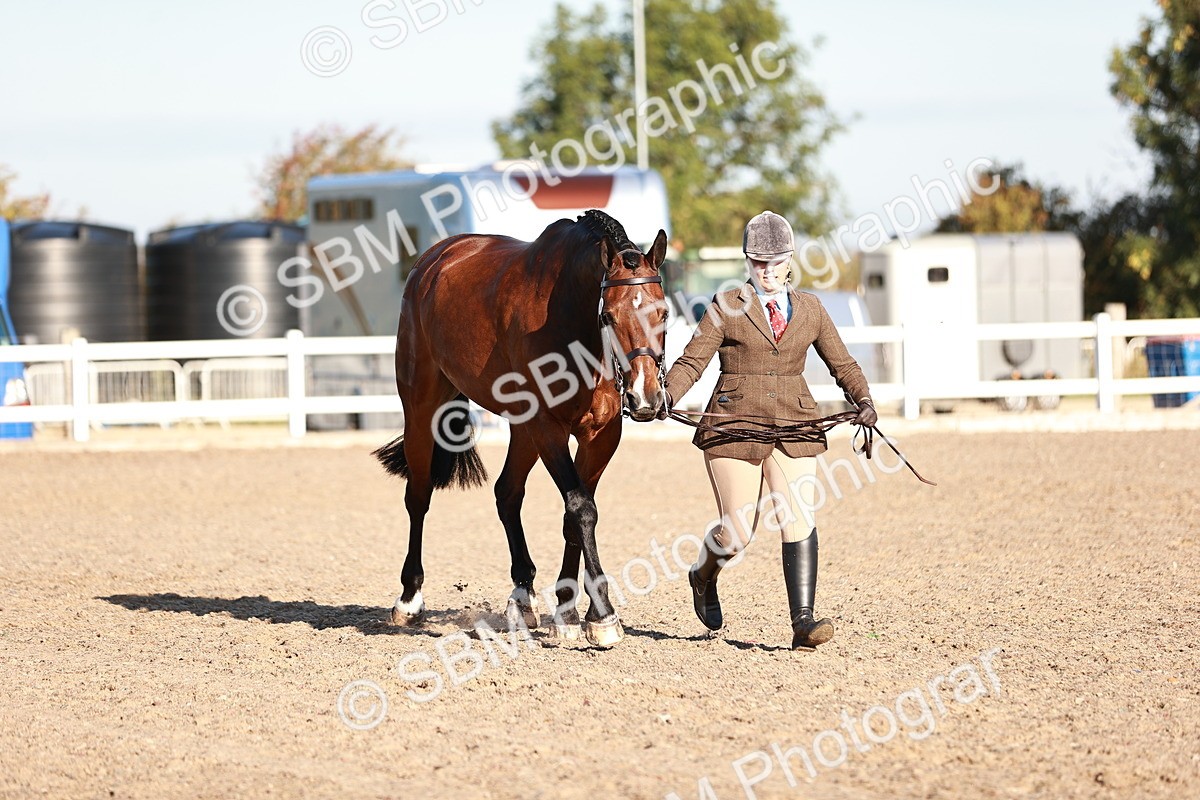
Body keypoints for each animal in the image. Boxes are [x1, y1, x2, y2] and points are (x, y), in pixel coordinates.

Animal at [373, 209, 669, 647]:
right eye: (607, 316)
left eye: (663, 313)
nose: (645, 396)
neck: (573, 324)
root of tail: (433, 260)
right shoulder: (548, 427)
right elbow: (581, 508)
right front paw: (602, 615)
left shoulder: (600, 435)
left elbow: (574, 516)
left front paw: (568, 610)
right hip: (423, 409)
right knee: (419, 496)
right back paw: (410, 599)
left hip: (521, 427)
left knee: (507, 494)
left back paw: (522, 597)